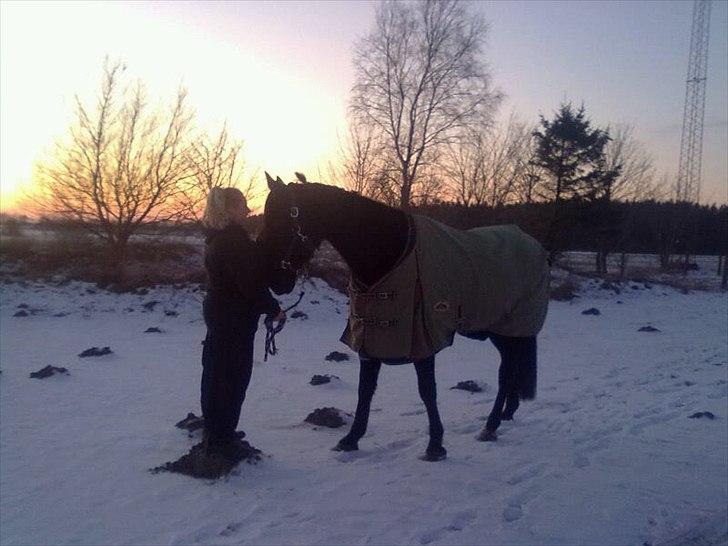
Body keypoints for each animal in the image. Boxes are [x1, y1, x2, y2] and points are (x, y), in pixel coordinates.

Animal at [258, 173, 548, 460]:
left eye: (285, 219)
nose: (275, 281)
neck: (389, 253)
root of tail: (533, 245)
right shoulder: (369, 337)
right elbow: (365, 390)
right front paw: (351, 439)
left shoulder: (422, 340)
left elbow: (427, 391)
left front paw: (435, 445)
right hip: (502, 331)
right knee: (509, 368)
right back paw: (505, 414)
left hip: (509, 329)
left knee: (506, 372)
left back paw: (491, 425)